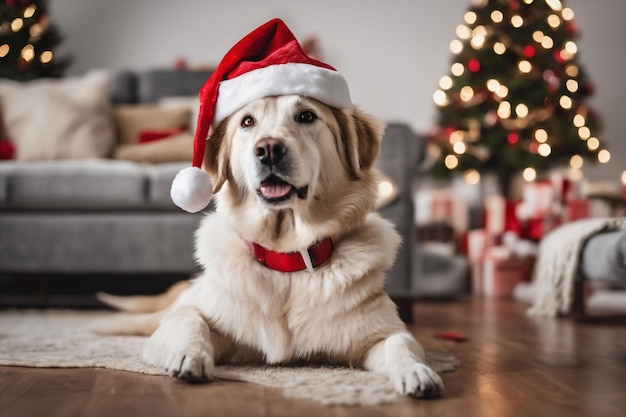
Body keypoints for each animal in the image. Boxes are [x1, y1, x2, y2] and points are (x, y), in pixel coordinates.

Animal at [97, 96, 442, 398]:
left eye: (307, 116)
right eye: (247, 121)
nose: (269, 150)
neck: (285, 258)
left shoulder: (382, 332)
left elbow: (402, 344)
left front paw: (418, 373)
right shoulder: (191, 315)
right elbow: (190, 321)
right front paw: (189, 357)